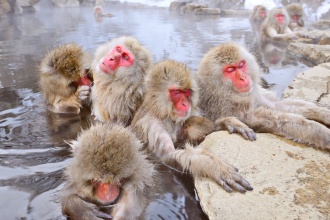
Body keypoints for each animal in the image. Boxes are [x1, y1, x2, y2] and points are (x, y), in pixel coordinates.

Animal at [131, 60, 253, 192]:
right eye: (176, 92)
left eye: (186, 92)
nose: (185, 103)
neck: (163, 113)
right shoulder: (152, 126)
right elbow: (167, 157)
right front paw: (212, 165)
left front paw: (229, 122)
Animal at [196, 42, 330, 150]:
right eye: (230, 70)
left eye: (241, 65)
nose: (243, 78)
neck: (222, 91)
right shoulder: (225, 106)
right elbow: (276, 120)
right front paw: (323, 133)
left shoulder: (253, 93)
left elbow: (276, 104)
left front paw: (323, 113)